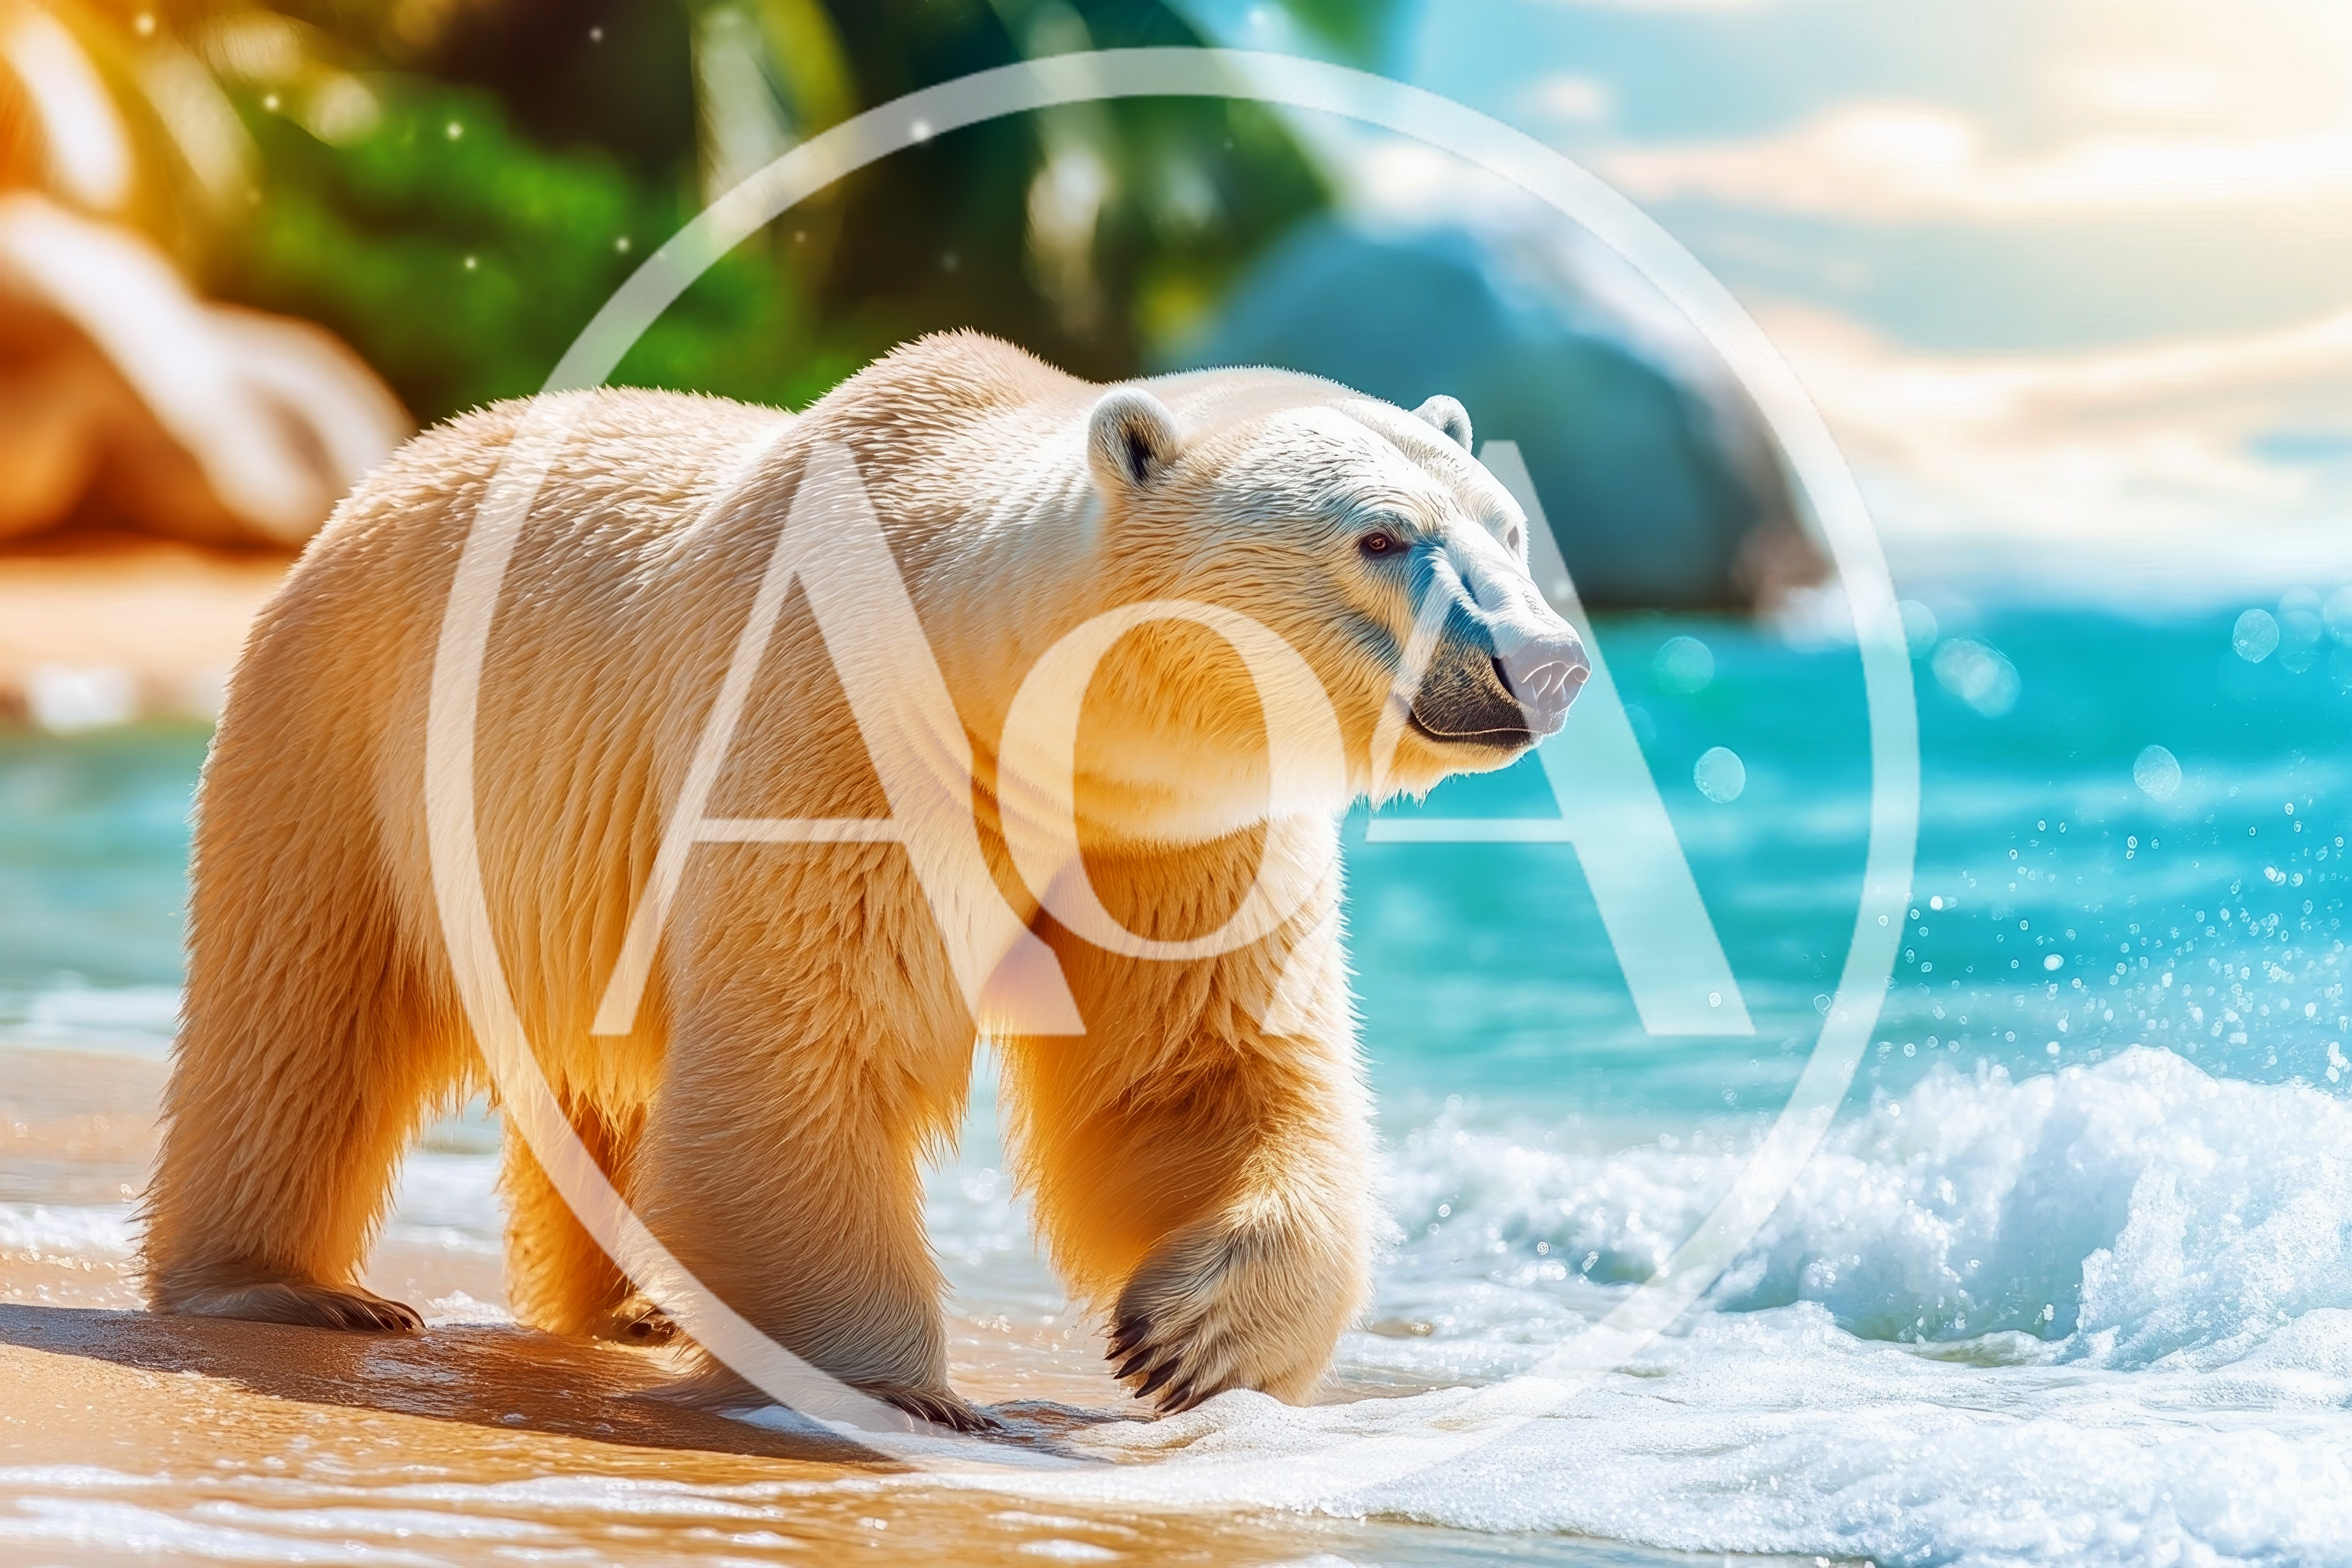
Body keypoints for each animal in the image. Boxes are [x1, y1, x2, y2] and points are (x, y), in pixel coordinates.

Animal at [138, 331, 1588, 1427]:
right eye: (1383, 538)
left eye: (1512, 525)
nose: (1546, 658)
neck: (1006, 682)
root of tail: (390, 466)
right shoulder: (836, 736)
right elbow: (813, 1046)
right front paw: (896, 1386)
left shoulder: (1167, 826)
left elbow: (1202, 1064)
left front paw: (1192, 1339)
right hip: (351, 722)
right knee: (302, 1006)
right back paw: (286, 1285)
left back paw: (632, 1305)